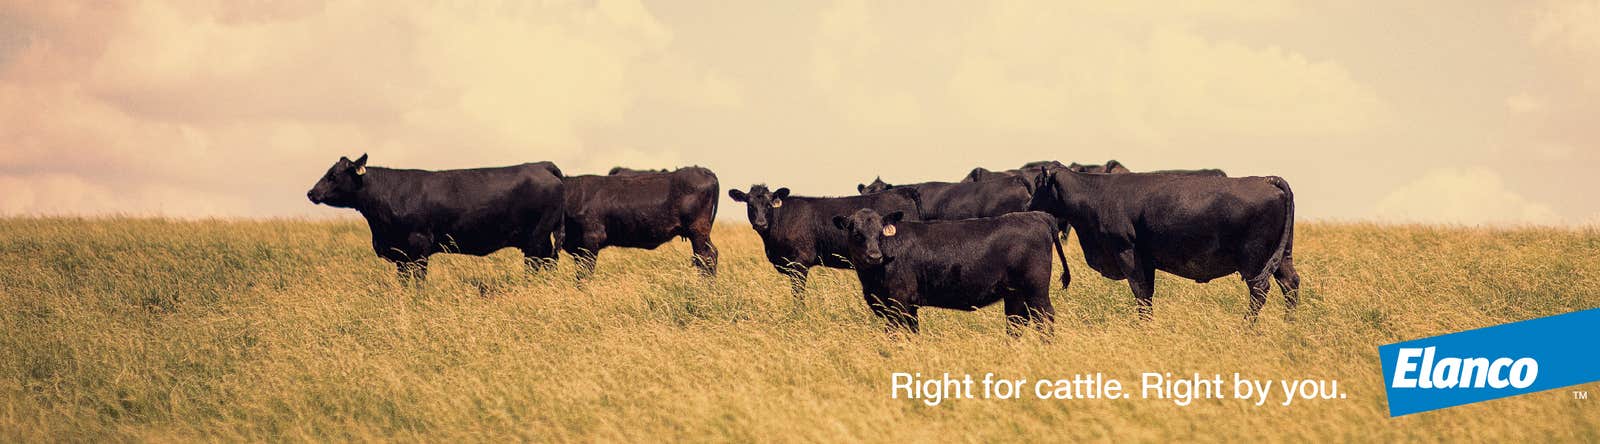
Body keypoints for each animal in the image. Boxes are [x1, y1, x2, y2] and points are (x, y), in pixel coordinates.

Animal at [305, 154, 565, 284]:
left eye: (333, 175)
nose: (311, 192)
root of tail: (541, 165)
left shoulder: (419, 245)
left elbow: (419, 280)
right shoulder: (401, 254)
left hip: (536, 238)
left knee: (536, 266)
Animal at [728, 185, 922, 296]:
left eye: (769, 205)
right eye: (750, 205)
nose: (761, 223)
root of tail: (904, 191)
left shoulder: (800, 262)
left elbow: (798, 294)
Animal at [831, 209, 1068, 335]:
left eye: (880, 233)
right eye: (857, 233)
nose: (874, 256)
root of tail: (1038, 216)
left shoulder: (900, 302)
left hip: (1036, 289)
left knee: (1044, 317)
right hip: (1014, 293)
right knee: (1016, 321)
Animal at [1028, 166, 1299, 323]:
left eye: (1038, 184)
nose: (1028, 206)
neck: (1098, 194)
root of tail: (1266, 179)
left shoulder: (1127, 251)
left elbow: (1140, 293)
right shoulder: (1146, 259)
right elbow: (1147, 293)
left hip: (1254, 260)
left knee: (1260, 290)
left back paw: (1246, 326)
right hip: (1282, 256)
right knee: (1290, 283)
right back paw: (1289, 323)